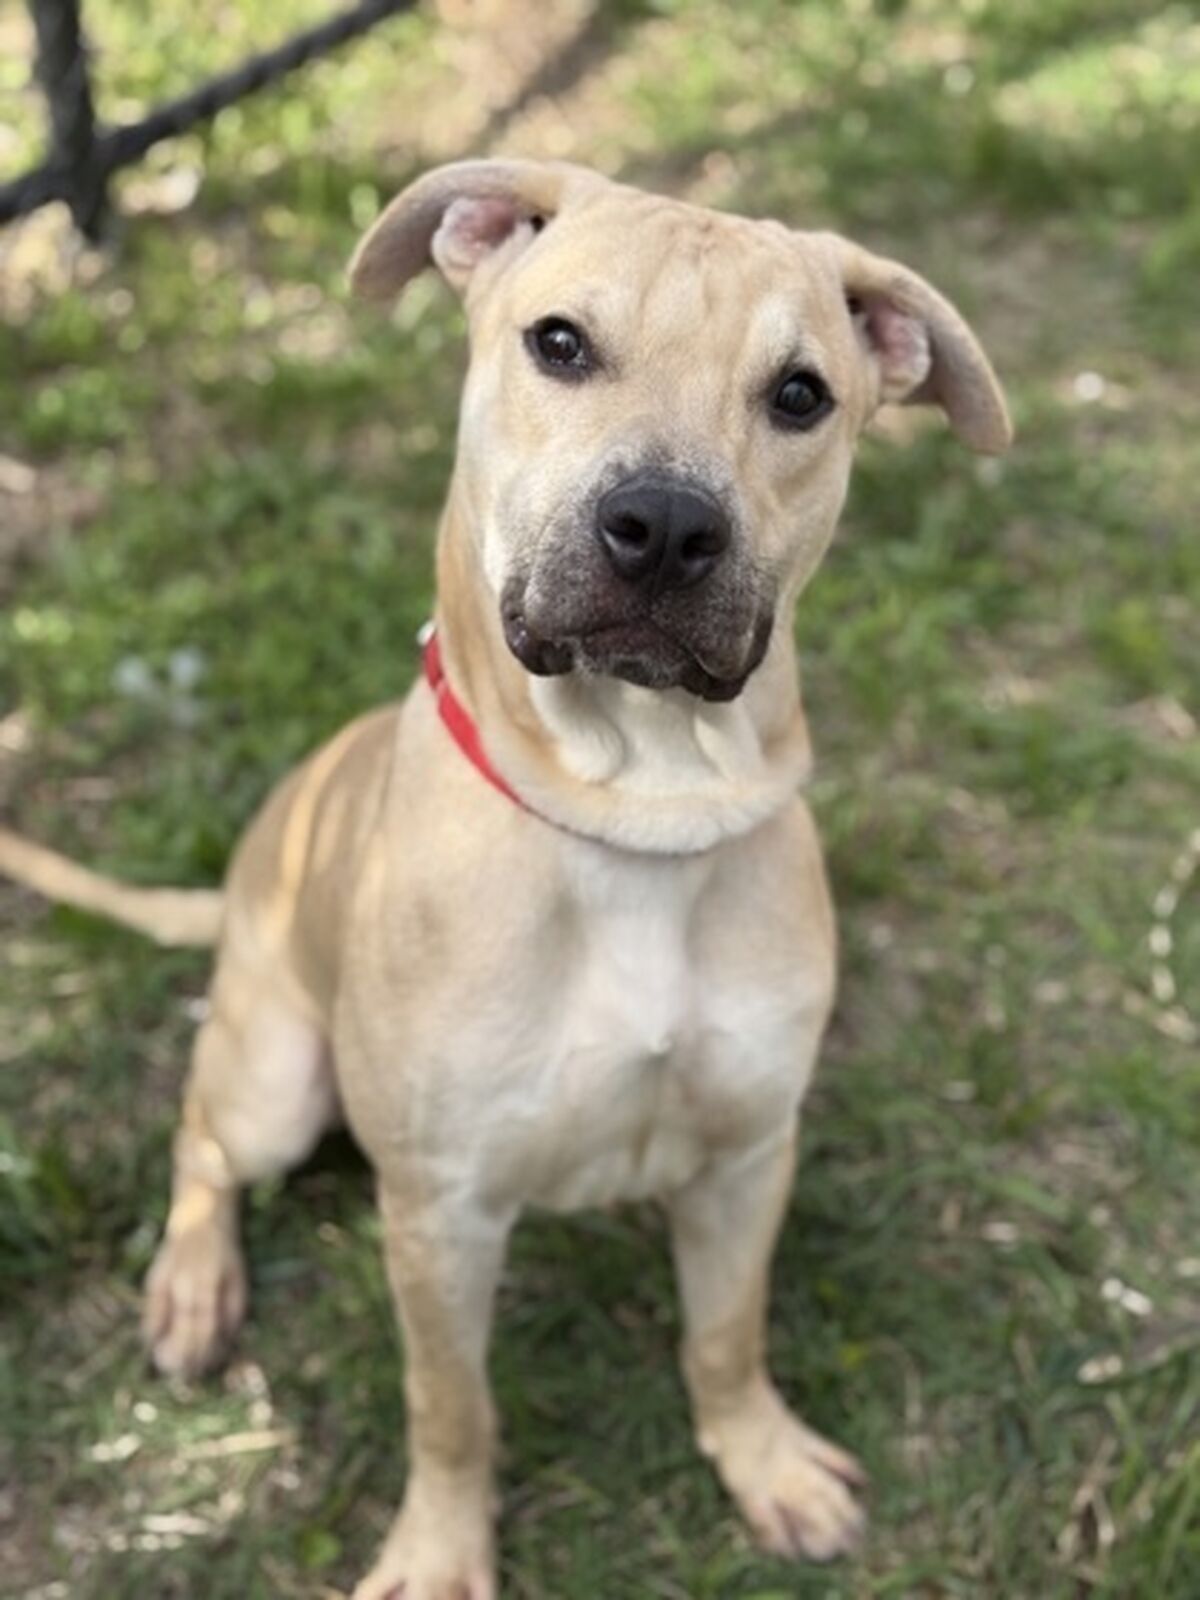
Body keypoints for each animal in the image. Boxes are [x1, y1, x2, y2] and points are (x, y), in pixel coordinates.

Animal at [0, 158, 1010, 1599]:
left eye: (801, 394)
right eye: (561, 343)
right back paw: (193, 1284)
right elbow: (451, 1405)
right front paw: (439, 1549)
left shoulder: (748, 1155)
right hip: (272, 1082)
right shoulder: (439, 1209)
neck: (631, 813)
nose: (664, 527)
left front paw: (761, 1461)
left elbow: (726, 1334)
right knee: (201, 1137)